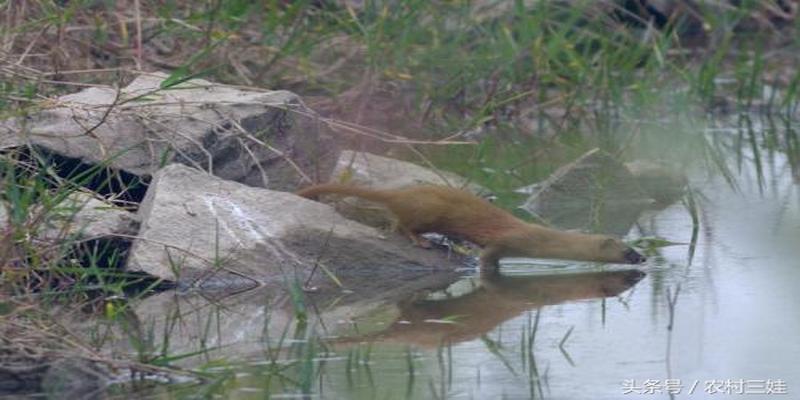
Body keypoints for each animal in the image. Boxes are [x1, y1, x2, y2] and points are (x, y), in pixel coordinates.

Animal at [296, 184, 648, 272]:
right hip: (428, 211)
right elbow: (489, 255)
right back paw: (423, 241)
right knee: (404, 225)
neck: (539, 237)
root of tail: (401, 192)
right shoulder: (507, 240)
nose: (644, 259)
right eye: (628, 250)